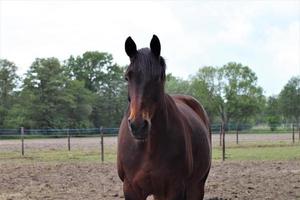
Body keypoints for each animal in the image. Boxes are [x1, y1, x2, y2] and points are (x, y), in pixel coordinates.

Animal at [117, 35, 211, 199]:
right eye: (127, 77)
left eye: (158, 77)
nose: (138, 125)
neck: (148, 146)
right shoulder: (130, 189)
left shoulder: (175, 188)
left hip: (197, 186)